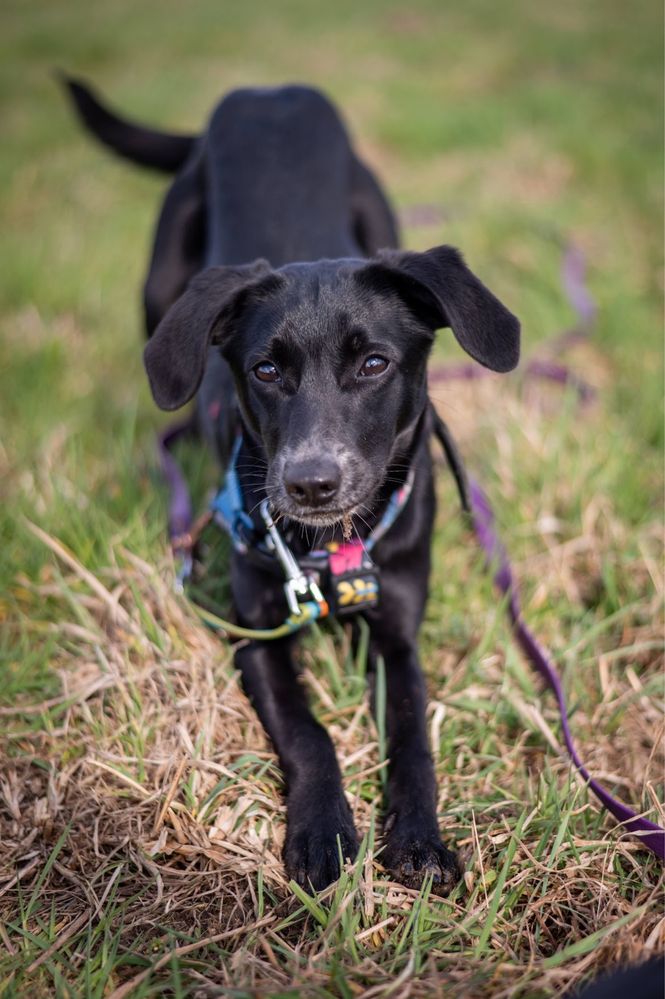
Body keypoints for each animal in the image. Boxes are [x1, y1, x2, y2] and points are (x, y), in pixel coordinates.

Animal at [63, 76, 520, 892]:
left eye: (373, 364)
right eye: (266, 370)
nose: (310, 482)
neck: (327, 549)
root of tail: (267, 91)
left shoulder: (398, 631)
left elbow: (412, 735)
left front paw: (420, 839)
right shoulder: (255, 635)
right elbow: (309, 732)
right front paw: (321, 832)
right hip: (159, 282)